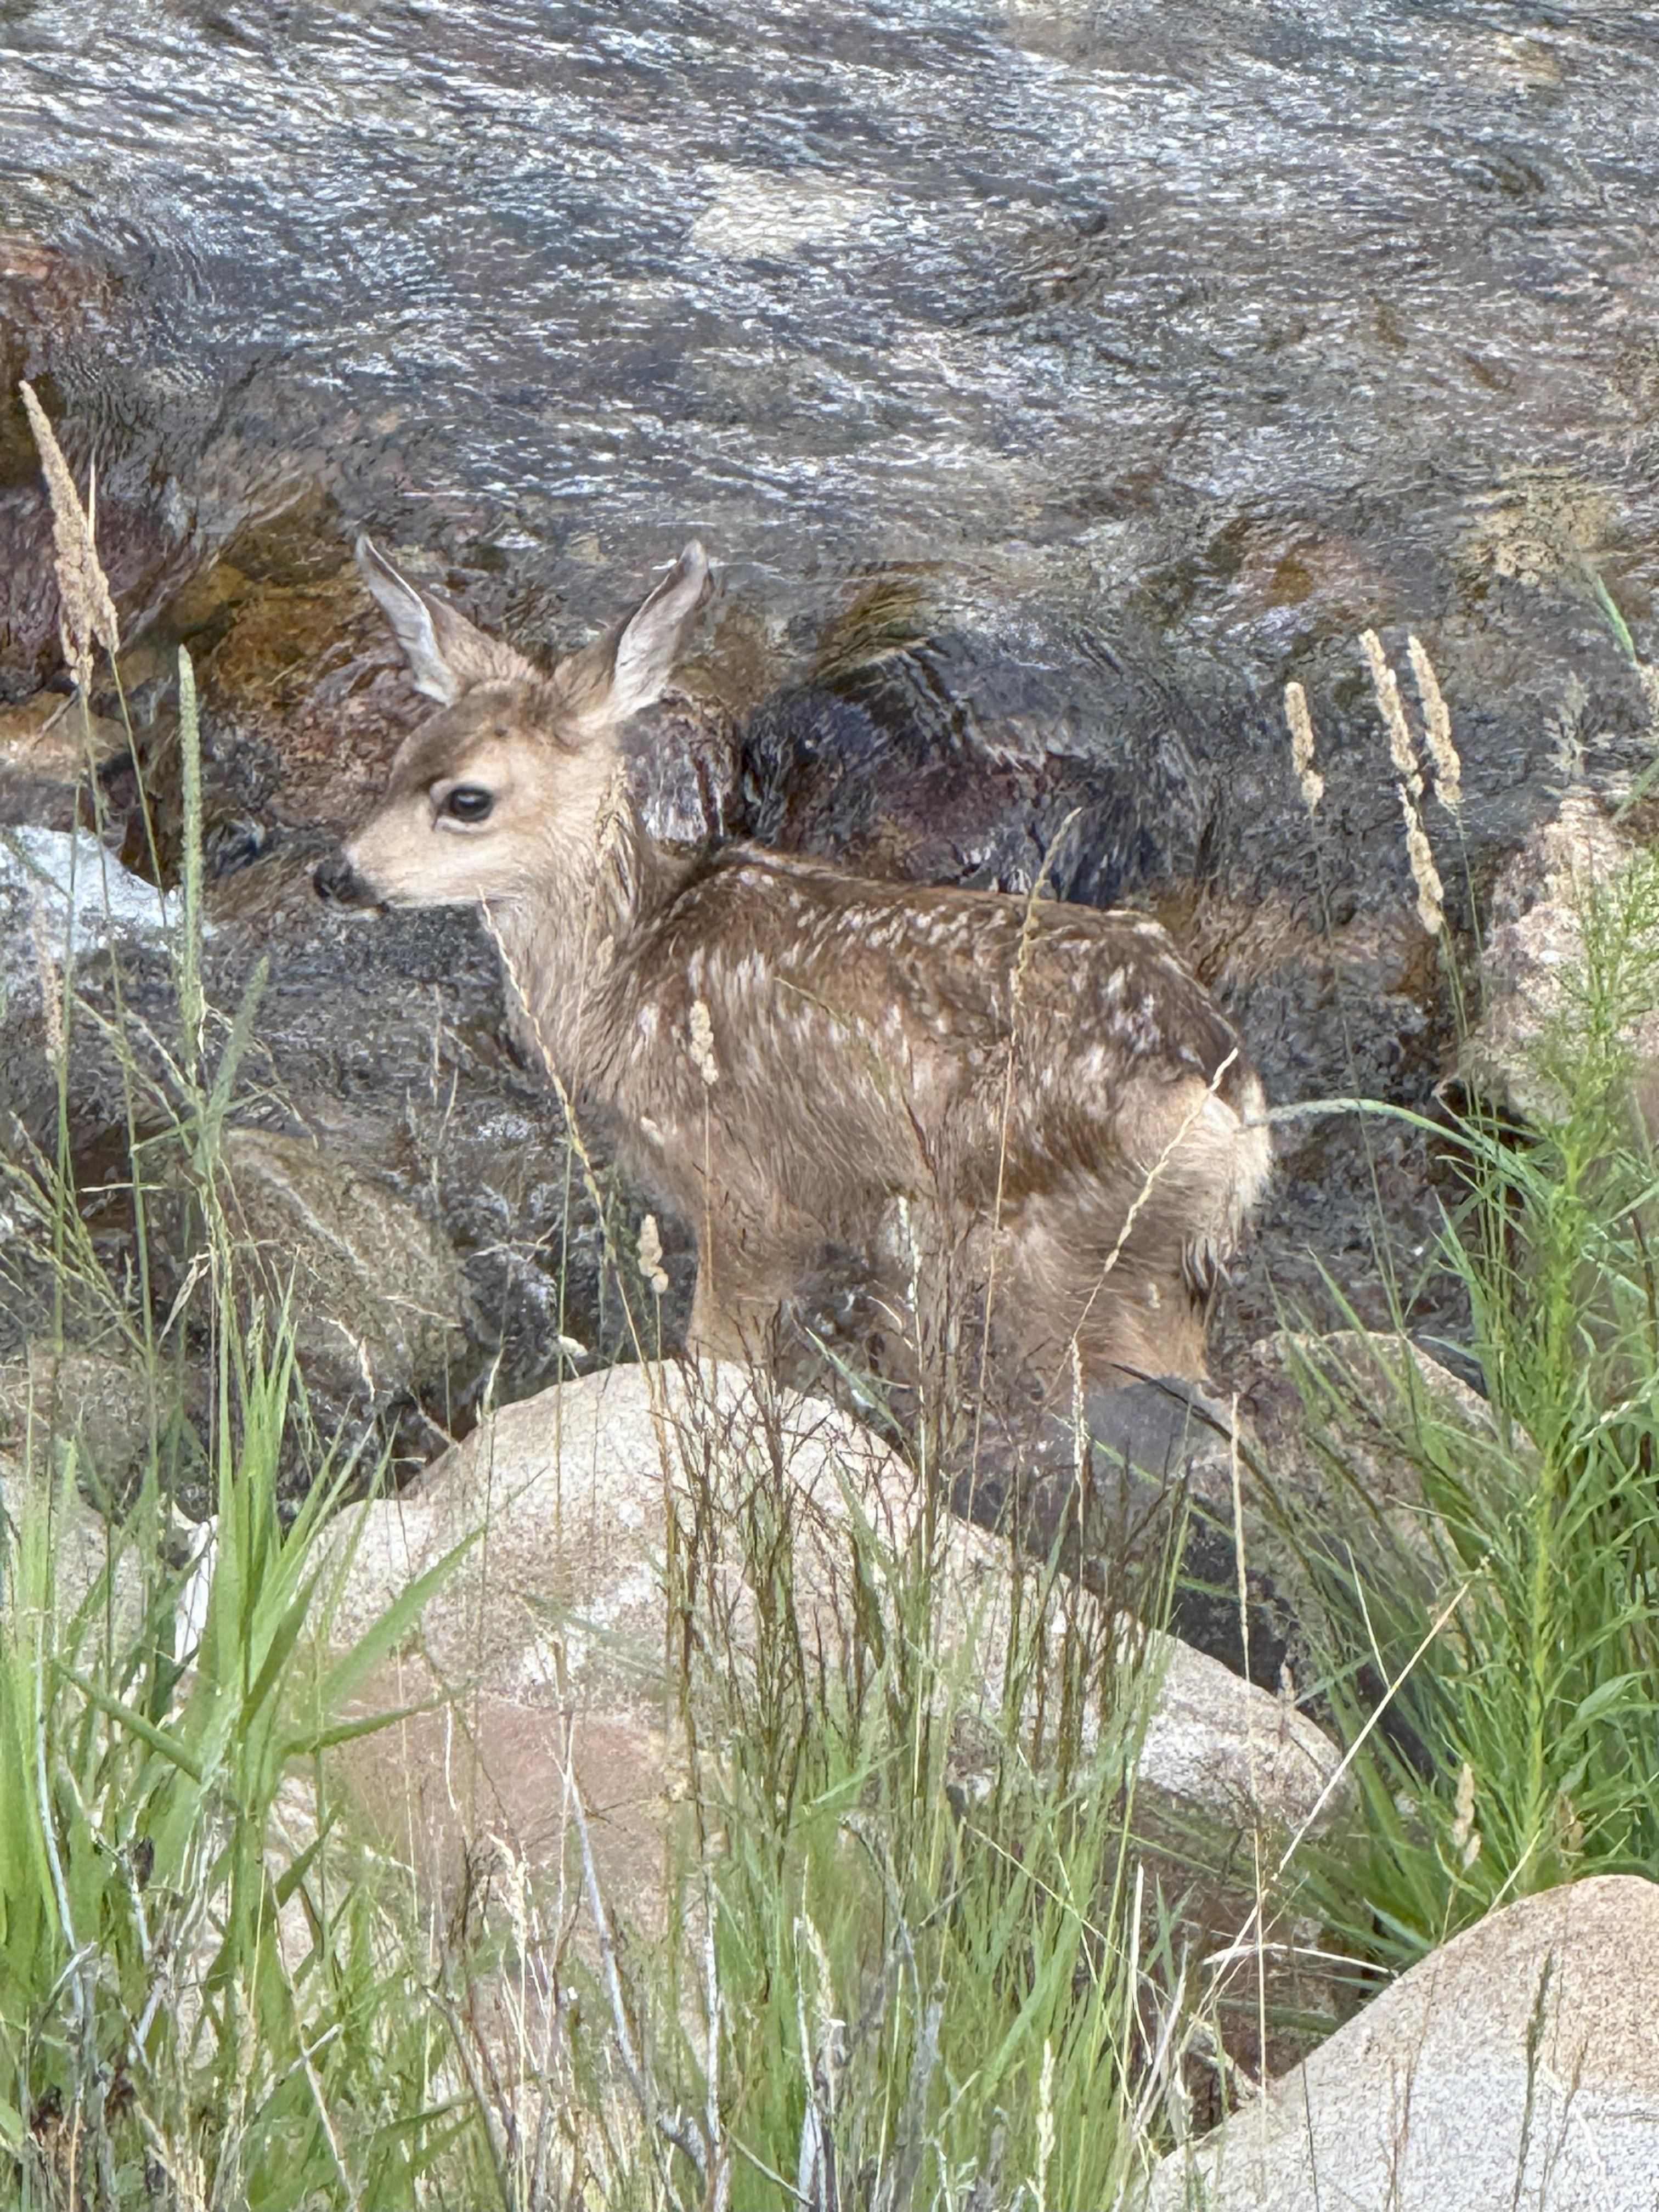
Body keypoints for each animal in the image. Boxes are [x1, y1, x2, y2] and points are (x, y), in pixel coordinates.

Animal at [316, 538, 1272, 1413]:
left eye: (467, 798)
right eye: (399, 762)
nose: (336, 875)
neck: (622, 975)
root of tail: (1230, 1101)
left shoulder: (746, 1190)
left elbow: (720, 1353)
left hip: (1068, 1258)